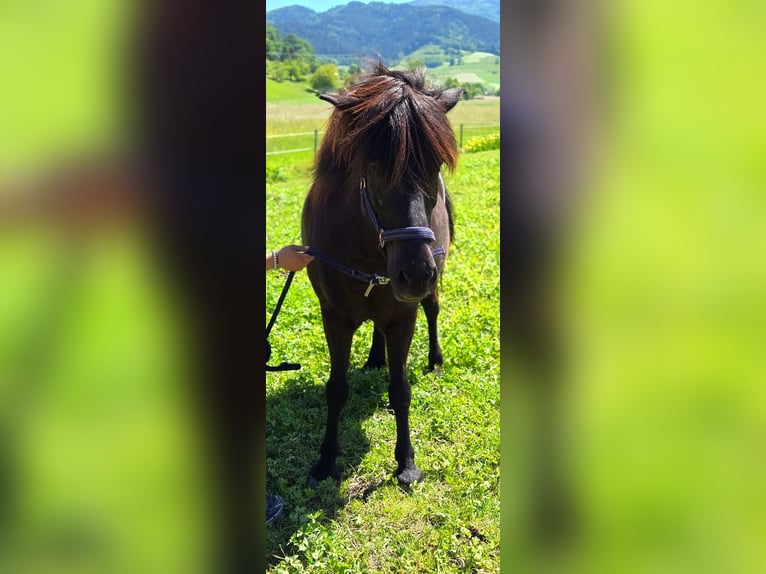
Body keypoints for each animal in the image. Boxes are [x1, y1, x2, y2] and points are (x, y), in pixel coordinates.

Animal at [301, 63, 464, 486]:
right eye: (373, 168)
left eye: (436, 165)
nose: (416, 273)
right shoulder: (334, 318)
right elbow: (336, 389)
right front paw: (326, 460)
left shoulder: (402, 317)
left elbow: (400, 388)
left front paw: (406, 462)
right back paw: (375, 356)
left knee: (433, 311)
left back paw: (434, 359)